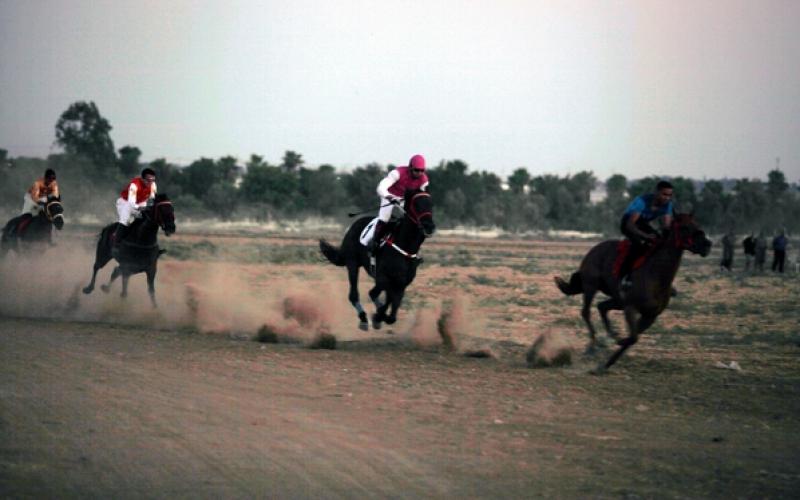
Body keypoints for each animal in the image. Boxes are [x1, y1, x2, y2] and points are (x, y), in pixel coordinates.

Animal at [318, 189, 434, 330]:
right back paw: (363, 318)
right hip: (352, 264)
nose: (429, 226)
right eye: (416, 205)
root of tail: (353, 225)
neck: (404, 246)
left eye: (431, 204)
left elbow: (392, 310)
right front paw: (377, 316)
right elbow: (377, 295)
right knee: (354, 295)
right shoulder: (383, 278)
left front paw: (381, 316)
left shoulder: (402, 283)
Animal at [552, 213, 708, 374]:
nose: (707, 245)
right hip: (591, 286)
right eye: (684, 227)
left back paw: (610, 335)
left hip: (617, 300)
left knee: (602, 306)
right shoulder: (630, 308)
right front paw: (617, 342)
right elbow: (633, 337)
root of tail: (594, 249)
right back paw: (593, 346)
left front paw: (607, 362)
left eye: (697, 224)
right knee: (586, 312)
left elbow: (633, 338)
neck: (655, 276)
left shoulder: (650, 316)